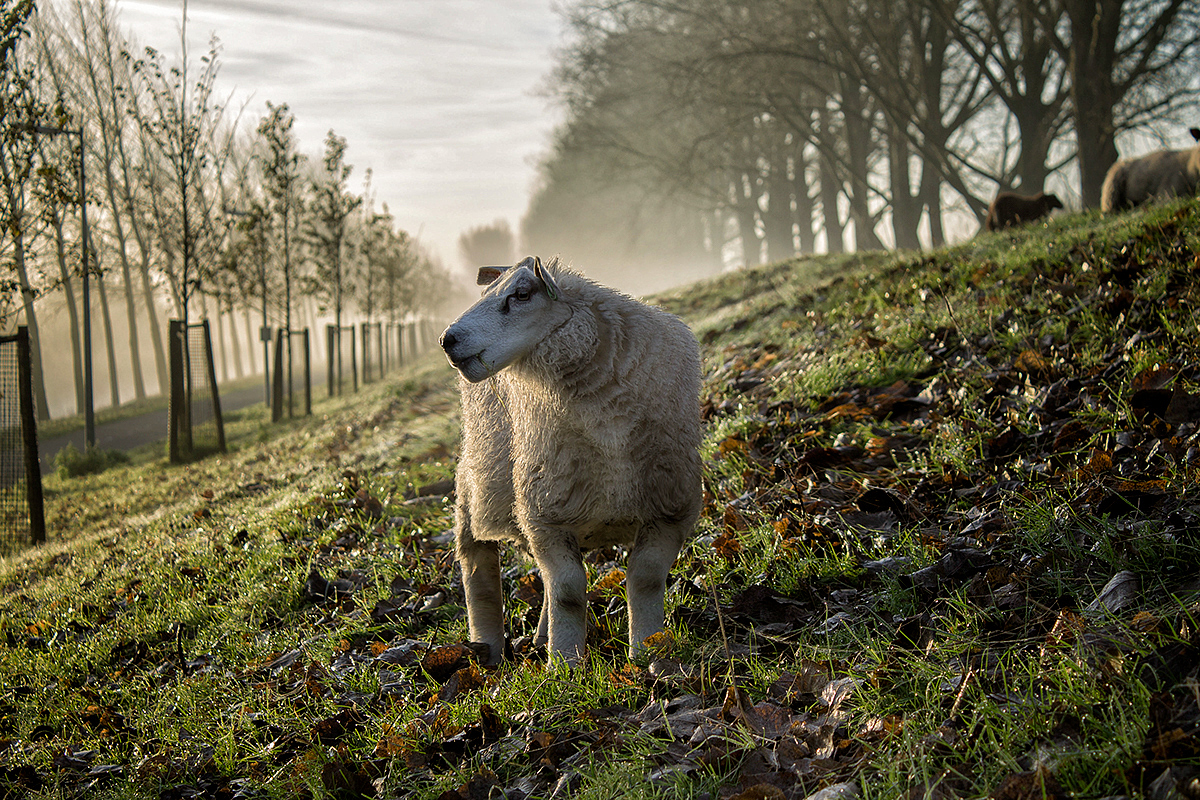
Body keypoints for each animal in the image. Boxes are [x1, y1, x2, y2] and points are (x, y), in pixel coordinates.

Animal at [441, 257, 700, 671]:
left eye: (522, 294)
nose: (447, 340)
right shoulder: (545, 516)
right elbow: (568, 592)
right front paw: (565, 665)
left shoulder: (671, 508)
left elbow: (644, 579)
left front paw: (649, 653)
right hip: (478, 488)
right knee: (479, 575)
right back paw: (487, 651)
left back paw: (540, 636)